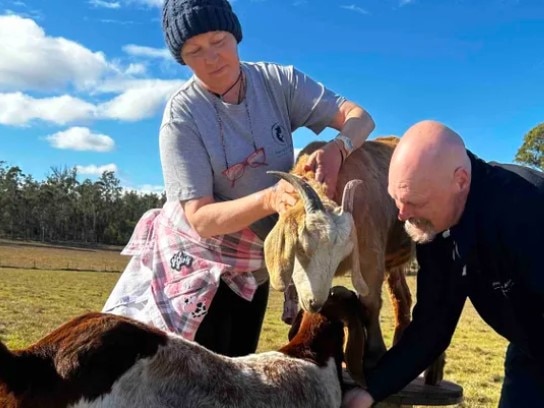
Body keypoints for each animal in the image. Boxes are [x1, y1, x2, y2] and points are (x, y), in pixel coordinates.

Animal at [264, 137, 446, 382]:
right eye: (302, 247)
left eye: (343, 252)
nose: (314, 302)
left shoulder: (370, 252)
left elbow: (369, 302)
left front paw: (373, 355)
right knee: (402, 297)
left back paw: (434, 370)